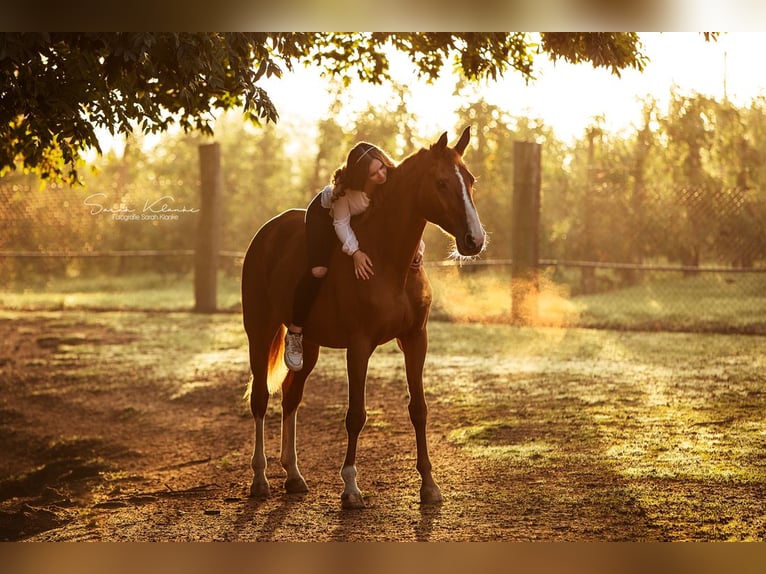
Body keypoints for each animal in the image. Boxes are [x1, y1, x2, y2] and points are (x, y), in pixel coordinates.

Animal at [241, 127, 486, 508]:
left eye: (471, 180)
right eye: (442, 182)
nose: (474, 240)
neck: (389, 260)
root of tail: (266, 233)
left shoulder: (416, 339)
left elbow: (419, 409)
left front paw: (429, 485)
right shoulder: (359, 346)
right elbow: (356, 415)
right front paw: (351, 488)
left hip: (308, 345)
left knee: (291, 396)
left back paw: (293, 475)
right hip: (260, 331)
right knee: (260, 399)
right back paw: (260, 479)